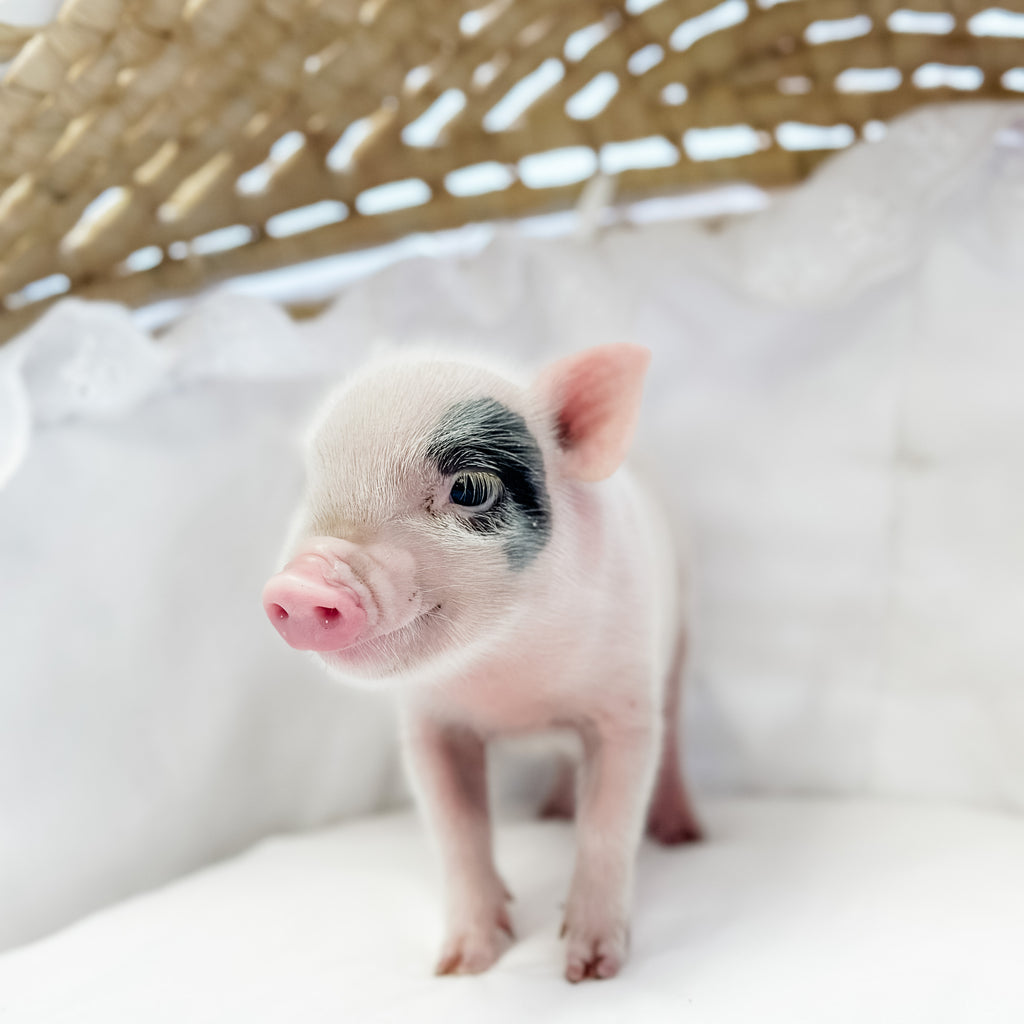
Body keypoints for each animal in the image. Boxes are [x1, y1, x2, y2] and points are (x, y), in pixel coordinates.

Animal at [262, 343, 700, 982]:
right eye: (313, 482)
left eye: (470, 489)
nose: (300, 584)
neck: (508, 680)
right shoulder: (430, 726)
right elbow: (458, 832)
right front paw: (461, 966)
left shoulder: (625, 708)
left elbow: (608, 826)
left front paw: (589, 970)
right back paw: (551, 814)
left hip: (682, 638)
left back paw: (684, 835)